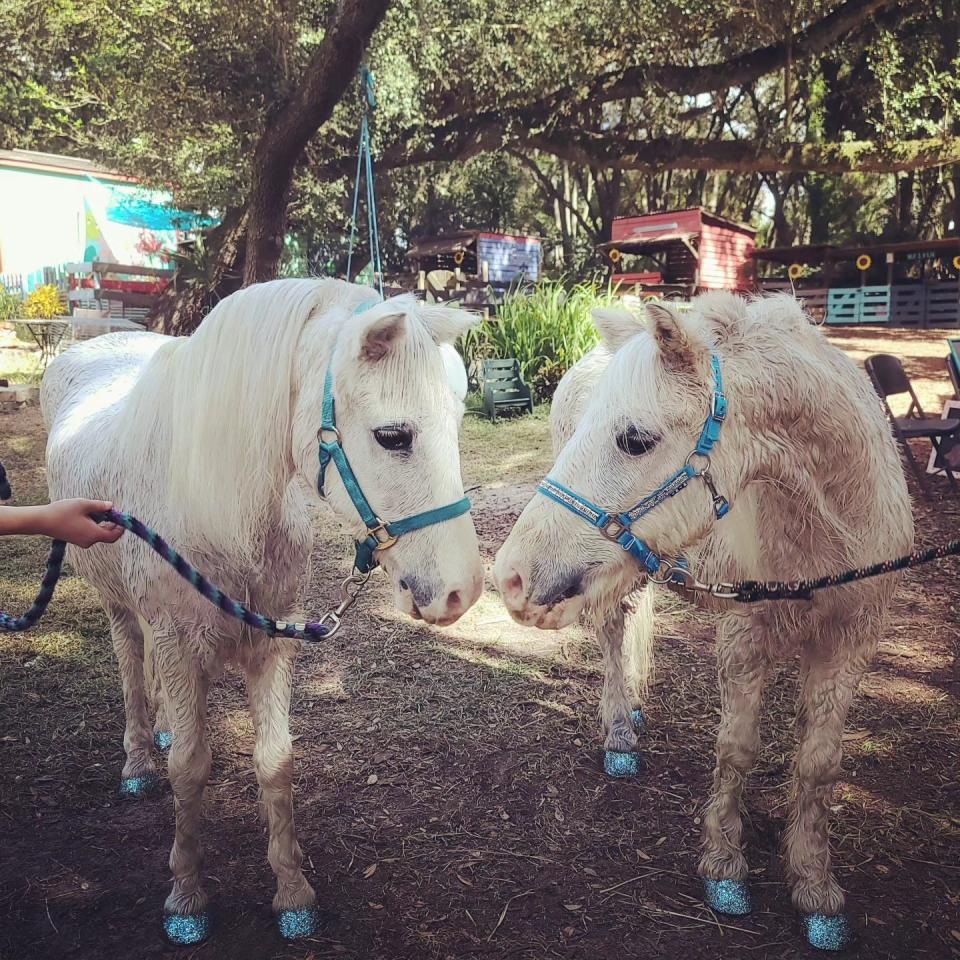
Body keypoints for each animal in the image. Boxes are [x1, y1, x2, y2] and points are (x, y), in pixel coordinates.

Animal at [41, 278, 484, 944]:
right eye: (393, 437)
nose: (463, 590)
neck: (219, 505)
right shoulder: (176, 640)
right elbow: (189, 767)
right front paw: (187, 900)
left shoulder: (271, 642)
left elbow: (275, 762)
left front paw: (293, 894)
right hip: (117, 602)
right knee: (129, 661)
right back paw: (139, 759)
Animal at [498, 294, 912, 952]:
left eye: (635, 439)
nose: (510, 577)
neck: (830, 538)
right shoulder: (743, 637)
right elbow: (736, 749)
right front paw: (725, 868)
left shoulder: (849, 645)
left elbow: (819, 764)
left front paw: (815, 888)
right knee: (612, 635)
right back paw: (621, 733)